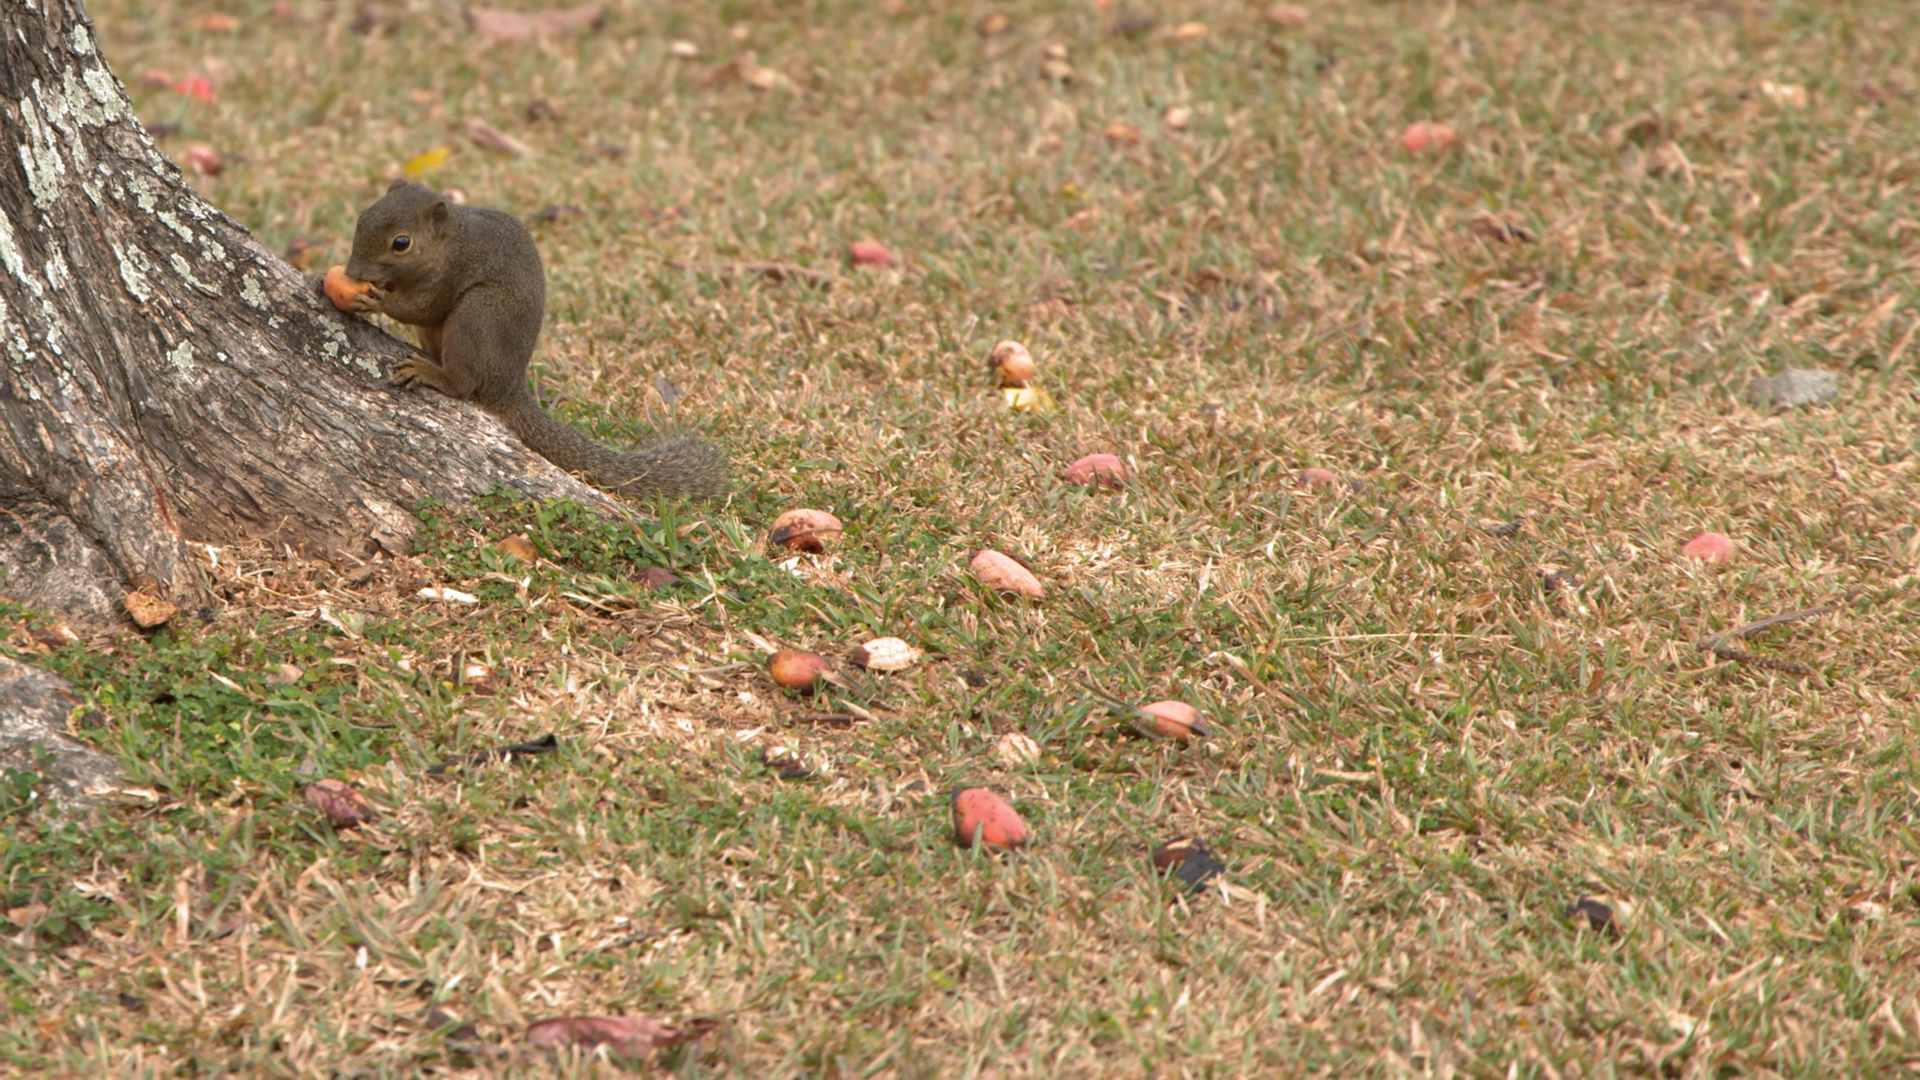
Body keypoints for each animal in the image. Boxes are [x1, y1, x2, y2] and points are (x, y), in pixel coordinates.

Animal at [340, 179, 728, 500]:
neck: (451, 242)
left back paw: (432, 373)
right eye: (362, 218)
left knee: (464, 383)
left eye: (401, 243)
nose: (353, 272)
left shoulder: (449, 276)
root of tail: (508, 388)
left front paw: (377, 300)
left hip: (478, 315)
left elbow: (421, 308)